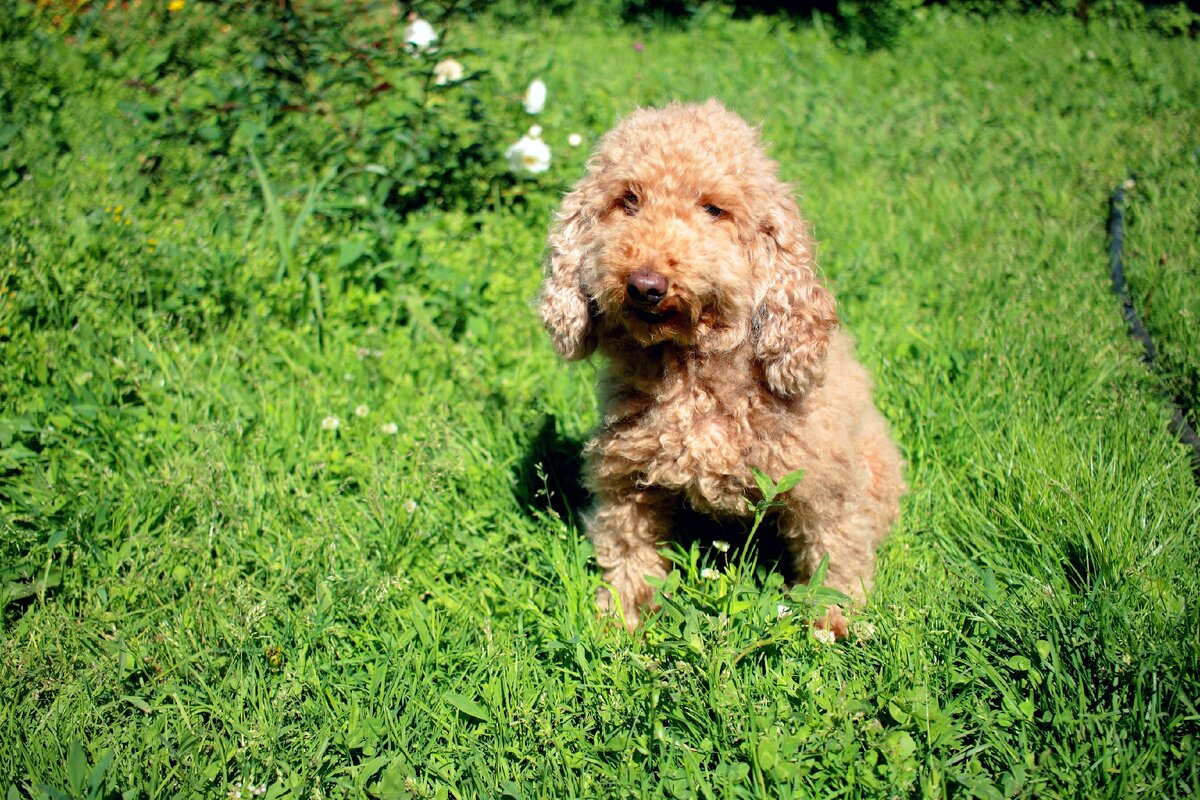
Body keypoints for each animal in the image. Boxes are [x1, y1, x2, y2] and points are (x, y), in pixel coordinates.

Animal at [540, 101, 902, 638]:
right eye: (628, 201)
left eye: (714, 209)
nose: (646, 285)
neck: (690, 371)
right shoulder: (628, 479)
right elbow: (627, 550)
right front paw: (622, 619)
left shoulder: (827, 485)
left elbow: (834, 558)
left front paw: (832, 623)